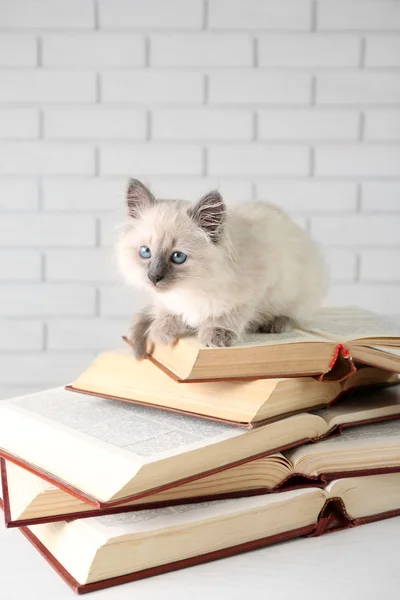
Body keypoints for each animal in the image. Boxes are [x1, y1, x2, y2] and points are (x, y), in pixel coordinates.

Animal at [115, 176, 328, 358]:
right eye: (145, 252)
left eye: (177, 257)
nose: (153, 277)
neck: (190, 287)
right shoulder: (166, 300)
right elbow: (167, 311)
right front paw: (161, 331)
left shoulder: (253, 290)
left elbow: (227, 314)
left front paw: (216, 336)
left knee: (295, 316)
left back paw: (276, 324)